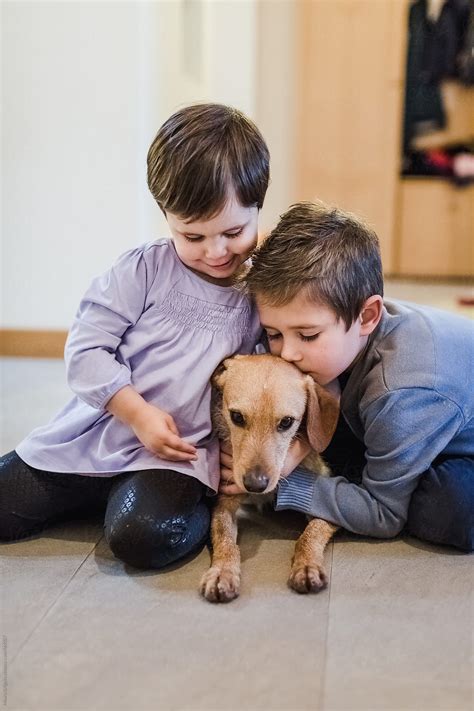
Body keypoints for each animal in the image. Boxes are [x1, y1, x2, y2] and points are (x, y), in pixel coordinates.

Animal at [200, 354, 340, 604]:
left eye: (286, 422)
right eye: (236, 416)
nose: (255, 484)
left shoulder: (325, 502)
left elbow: (311, 532)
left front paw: (307, 566)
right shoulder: (225, 503)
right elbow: (225, 540)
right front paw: (222, 572)